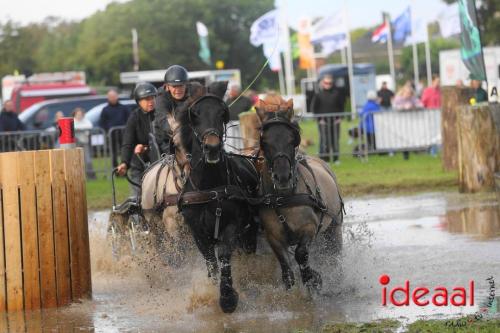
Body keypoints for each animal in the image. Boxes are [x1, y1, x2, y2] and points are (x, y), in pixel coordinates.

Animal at [175, 81, 260, 312]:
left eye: (222, 112)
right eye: (194, 114)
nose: (212, 147)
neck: (210, 187)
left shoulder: (232, 225)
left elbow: (223, 255)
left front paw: (228, 297)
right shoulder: (197, 232)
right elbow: (211, 262)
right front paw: (214, 291)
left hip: (250, 233)